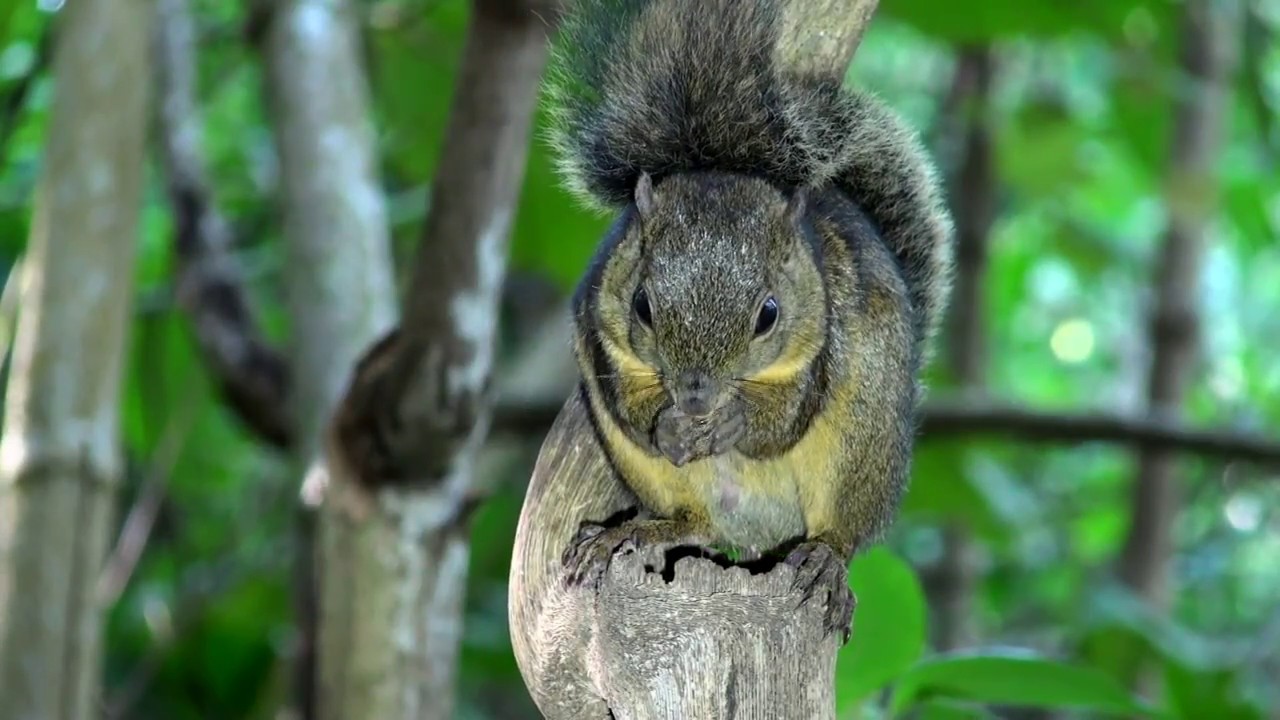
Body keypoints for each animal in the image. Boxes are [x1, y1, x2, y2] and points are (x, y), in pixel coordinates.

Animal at [547, 0, 955, 640]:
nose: (694, 399)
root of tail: (763, 536)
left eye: (769, 314)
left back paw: (824, 561)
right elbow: (628, 404)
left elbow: (785, 418)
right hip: (651, 477)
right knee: (696, 525)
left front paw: (737, 419)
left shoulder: (822, 342)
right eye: (642, 305)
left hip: (862, 445)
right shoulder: (601, 330)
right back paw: (630, 533)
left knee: (840, 531)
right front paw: (668, 426)